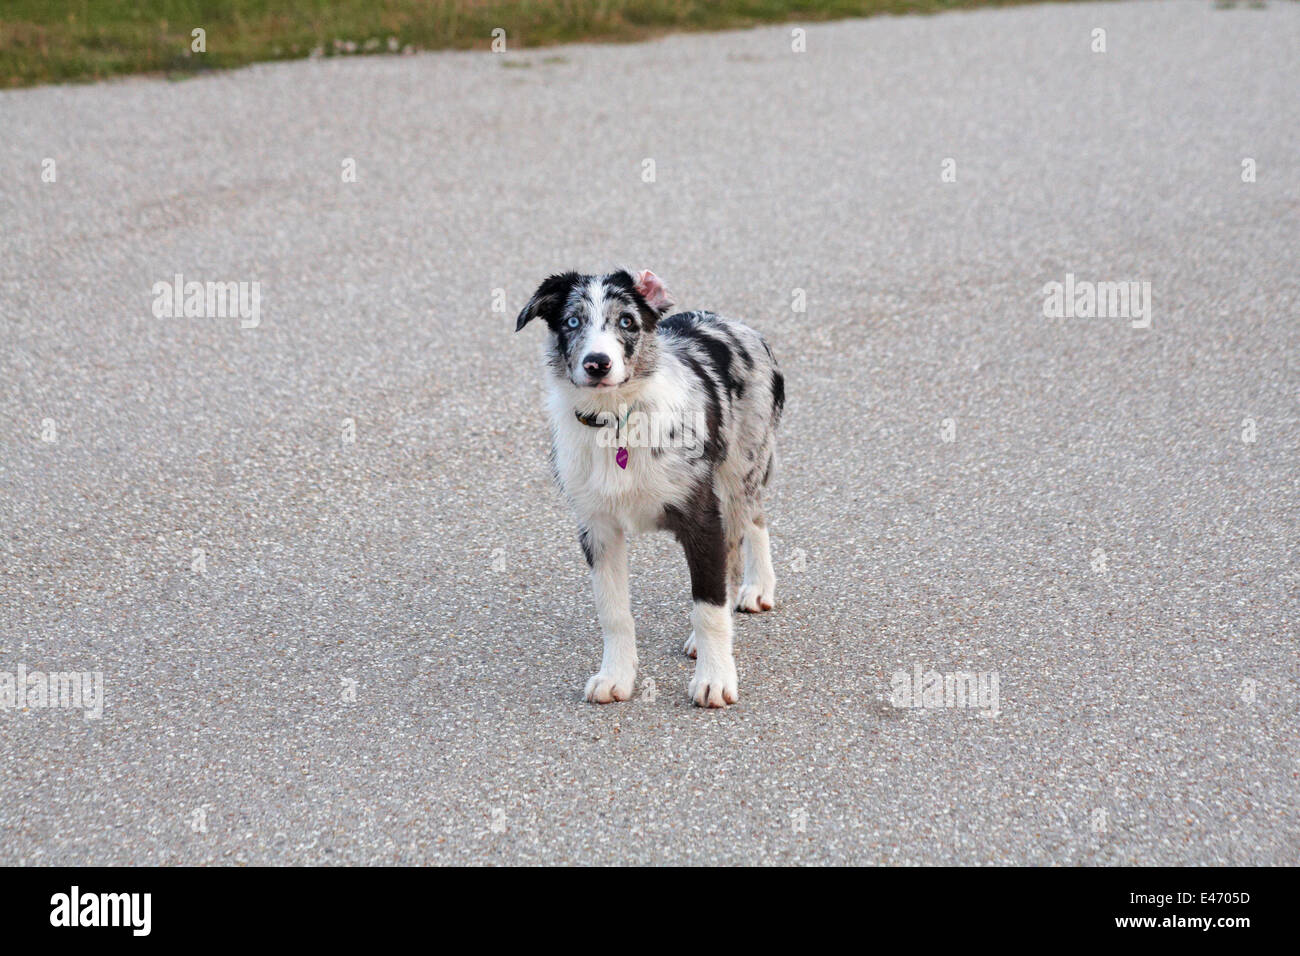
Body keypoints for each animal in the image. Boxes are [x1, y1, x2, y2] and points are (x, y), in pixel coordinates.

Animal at [514, 265, 780, 707]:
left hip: (741, 466)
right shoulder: (597, 528)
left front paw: (715, 680)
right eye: (572, 322)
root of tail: (734, 323)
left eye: (626, 322)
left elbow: (708, 607)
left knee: (749, 521)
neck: (617, 420)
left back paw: (757, 588)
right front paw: (615, 677)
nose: (597, 363)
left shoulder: (702, 516)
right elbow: (614, 612)